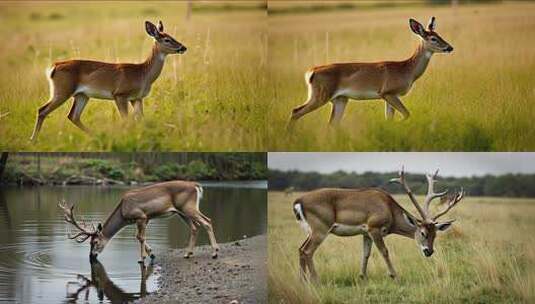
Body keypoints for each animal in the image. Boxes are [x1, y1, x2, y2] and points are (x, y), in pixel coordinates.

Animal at [30, 20, 188, 141]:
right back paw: (33, 140)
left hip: (82, 95)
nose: (183, 47)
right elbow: (126, 120)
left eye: (172, 36)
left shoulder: (137, 98)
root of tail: (54, 66)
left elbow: (141, 119)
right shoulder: (120, 94)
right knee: (42, 110)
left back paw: (95, 136)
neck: (142, 73)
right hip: (62, 90)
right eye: (167, 39)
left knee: (73, 116)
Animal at [57, 180, 219, 264]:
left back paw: (214, 253)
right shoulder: (143, 219)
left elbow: (140, 237)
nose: (91, 256)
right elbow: (138, 236)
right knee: (195, 226)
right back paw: (188, 254)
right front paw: (151, 254)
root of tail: (196, 186)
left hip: (187, 207)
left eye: (95, 242)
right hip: (181, 212)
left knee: (207, 221)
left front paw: (142, 258)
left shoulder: (141, 216)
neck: (123, 213)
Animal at [292, 16, 454, 128]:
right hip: (321, 95)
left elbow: (390, 119)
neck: (406, 70)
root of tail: (310, 72)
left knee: (331, 124)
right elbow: (406, 114)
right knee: (296, 111)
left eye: (440, 35)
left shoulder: (390, 96)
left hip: (340, 99)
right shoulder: (388, 92)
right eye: (433, 38)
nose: (449, 47)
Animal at [294, 167, 464, 282]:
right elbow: (384, 251)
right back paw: (315, 280)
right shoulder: (374, 228)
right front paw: (395, 276)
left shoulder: (366, 232)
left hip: (312, 230)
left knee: (301, 249)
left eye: (436, 234)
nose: (429, 251)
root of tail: (298, 201)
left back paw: (302, 280)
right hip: (320, 228)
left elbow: (366, 254)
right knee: (308, 251)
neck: (389, 210)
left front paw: (362, 277)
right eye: (423, 233)